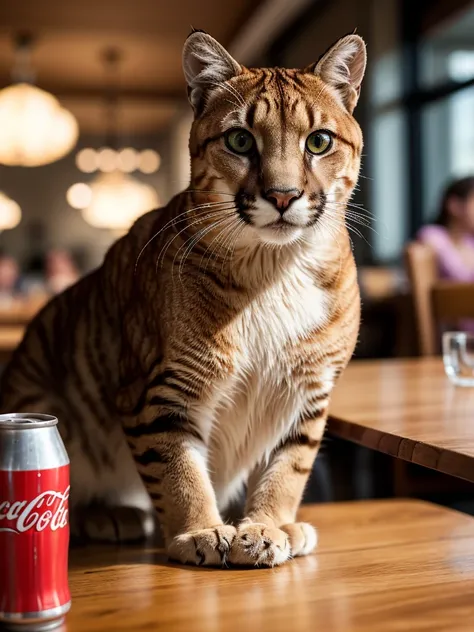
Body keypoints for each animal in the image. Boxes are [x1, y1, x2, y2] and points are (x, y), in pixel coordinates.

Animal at [0, 29, 366, 568]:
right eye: (240, 140)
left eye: (319, 141)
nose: (282, 196)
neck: (274, 271)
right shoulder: (161, 391)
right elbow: (178, 469)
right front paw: (200, 530)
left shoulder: (310, 394)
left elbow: (288, 468)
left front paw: (269, 524)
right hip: (40, 387)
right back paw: (109, 514)